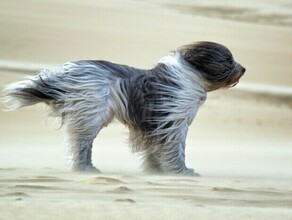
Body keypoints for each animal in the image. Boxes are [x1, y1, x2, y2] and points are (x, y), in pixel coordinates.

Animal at [2, 41, 244, 175]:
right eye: (229, 59)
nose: (244, 69)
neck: (189, 76)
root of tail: (68, 71)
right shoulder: (173, 122)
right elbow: (175, 149)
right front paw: (181, 172)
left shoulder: (154, 123)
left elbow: (154, 150)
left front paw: (156, 171)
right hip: (91, 113)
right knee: (80, 143)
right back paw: (84, 168)